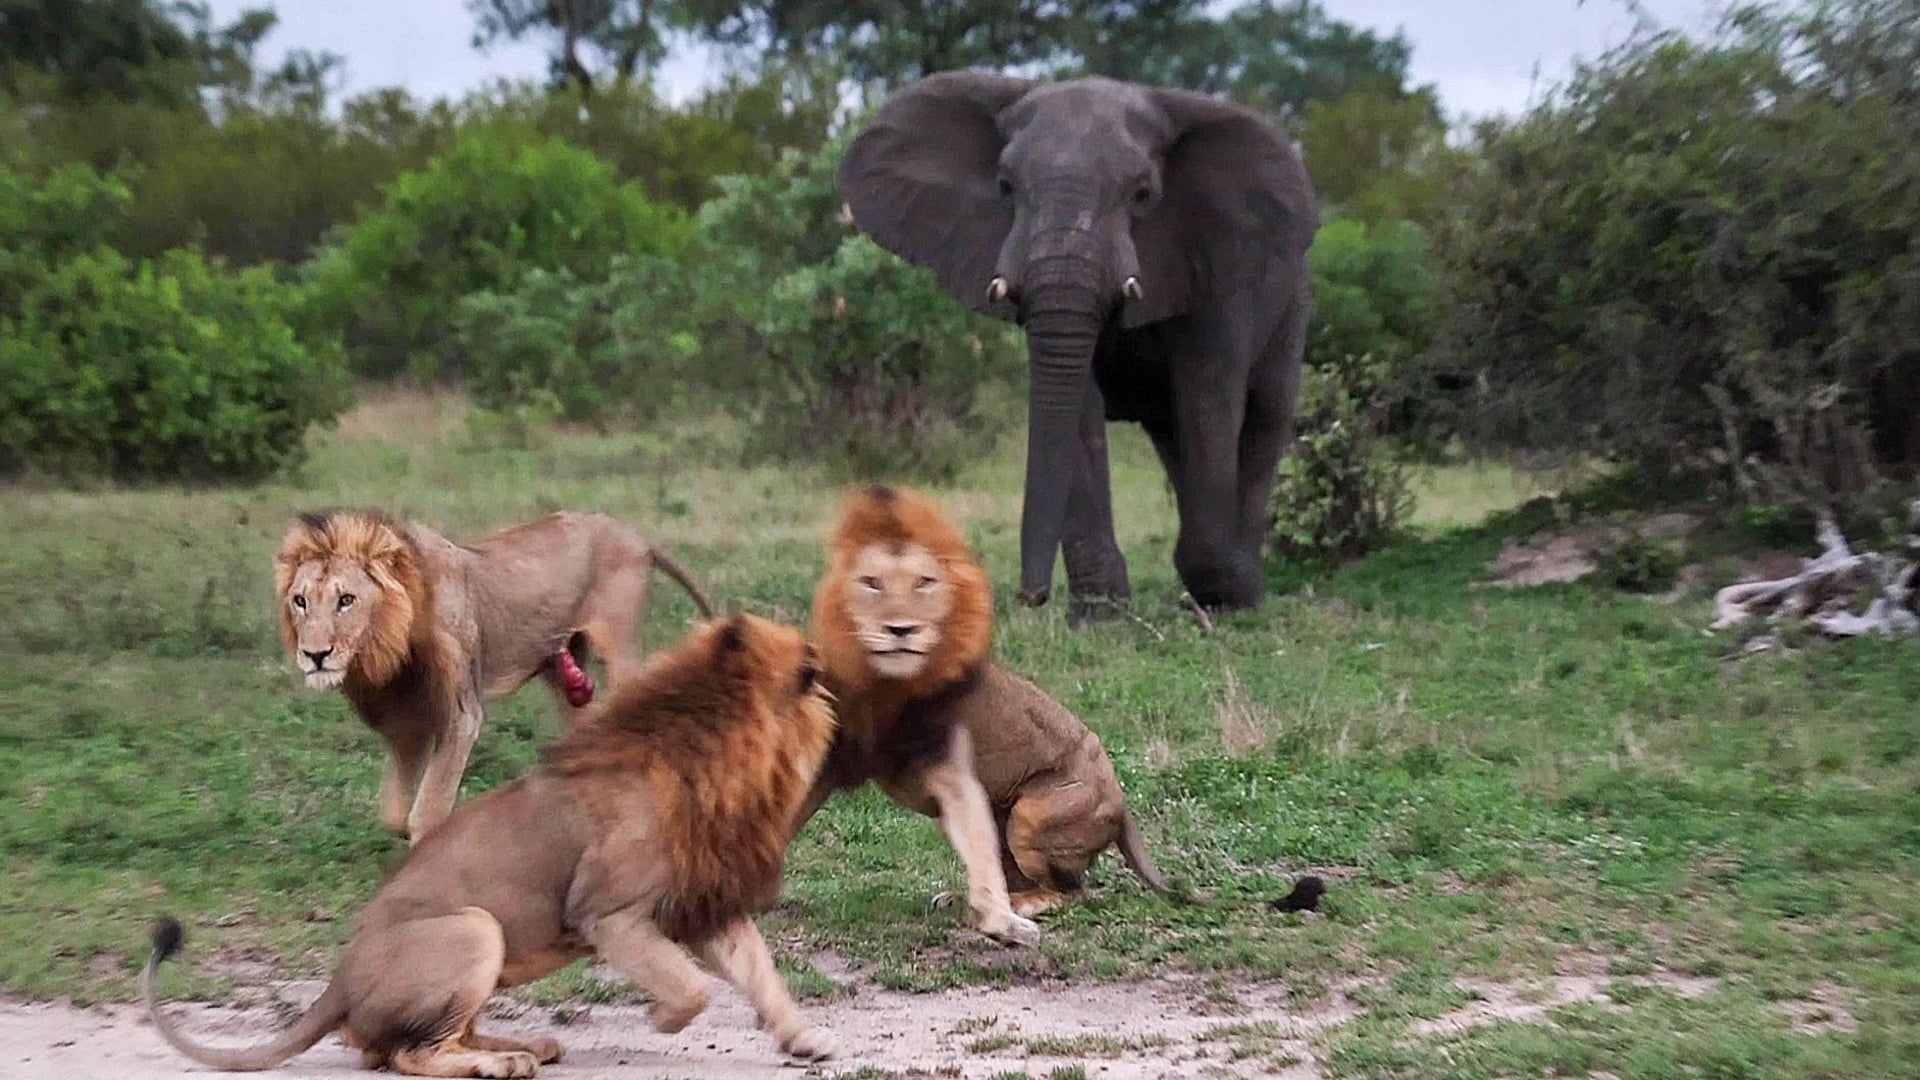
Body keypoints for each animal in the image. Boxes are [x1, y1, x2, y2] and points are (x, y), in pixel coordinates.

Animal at [144, 613, 839, 1077]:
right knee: (406, 1055)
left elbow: (761, 973)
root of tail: (338, 982)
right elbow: (690, 986)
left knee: (416, 1043)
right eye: (806, 669)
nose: (828, 667)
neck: (723, 758)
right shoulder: (608, 915)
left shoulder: (705, 900)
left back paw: (526, 1047)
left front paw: (804, 1040)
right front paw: (663, 1021)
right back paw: (503, 1064)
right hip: (475, 927)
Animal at [274, 509, 714, 843]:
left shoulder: (460, 712)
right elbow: (396, 812)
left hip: (617, 645)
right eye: (300, 601)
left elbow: (428, 809)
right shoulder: (408, 719)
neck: (386, 647)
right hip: (563, 671)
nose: (315, 656)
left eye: (346, 600)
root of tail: (633, 534)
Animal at [791, 485, 1169, 946]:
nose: (900, 630)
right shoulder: (833, 758)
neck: (884, 683)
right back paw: (958, 899)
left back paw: (1021, 906)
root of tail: (1122, 801)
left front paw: (1002, 922)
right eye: (871, 583)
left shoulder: (952, 770)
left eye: (924, 583)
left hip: (1033, 815)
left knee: (1074, 891)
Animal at [837, 72, 1319, 615]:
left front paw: (1229, 595)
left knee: (1265, 416)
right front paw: (1103, 616)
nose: (1031, 595)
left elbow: (1208, 401)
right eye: (1005, 187)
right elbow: (1079, 408)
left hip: (1293, 304)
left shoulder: (1216, 264)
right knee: (1173, 436)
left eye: (1143, 193)